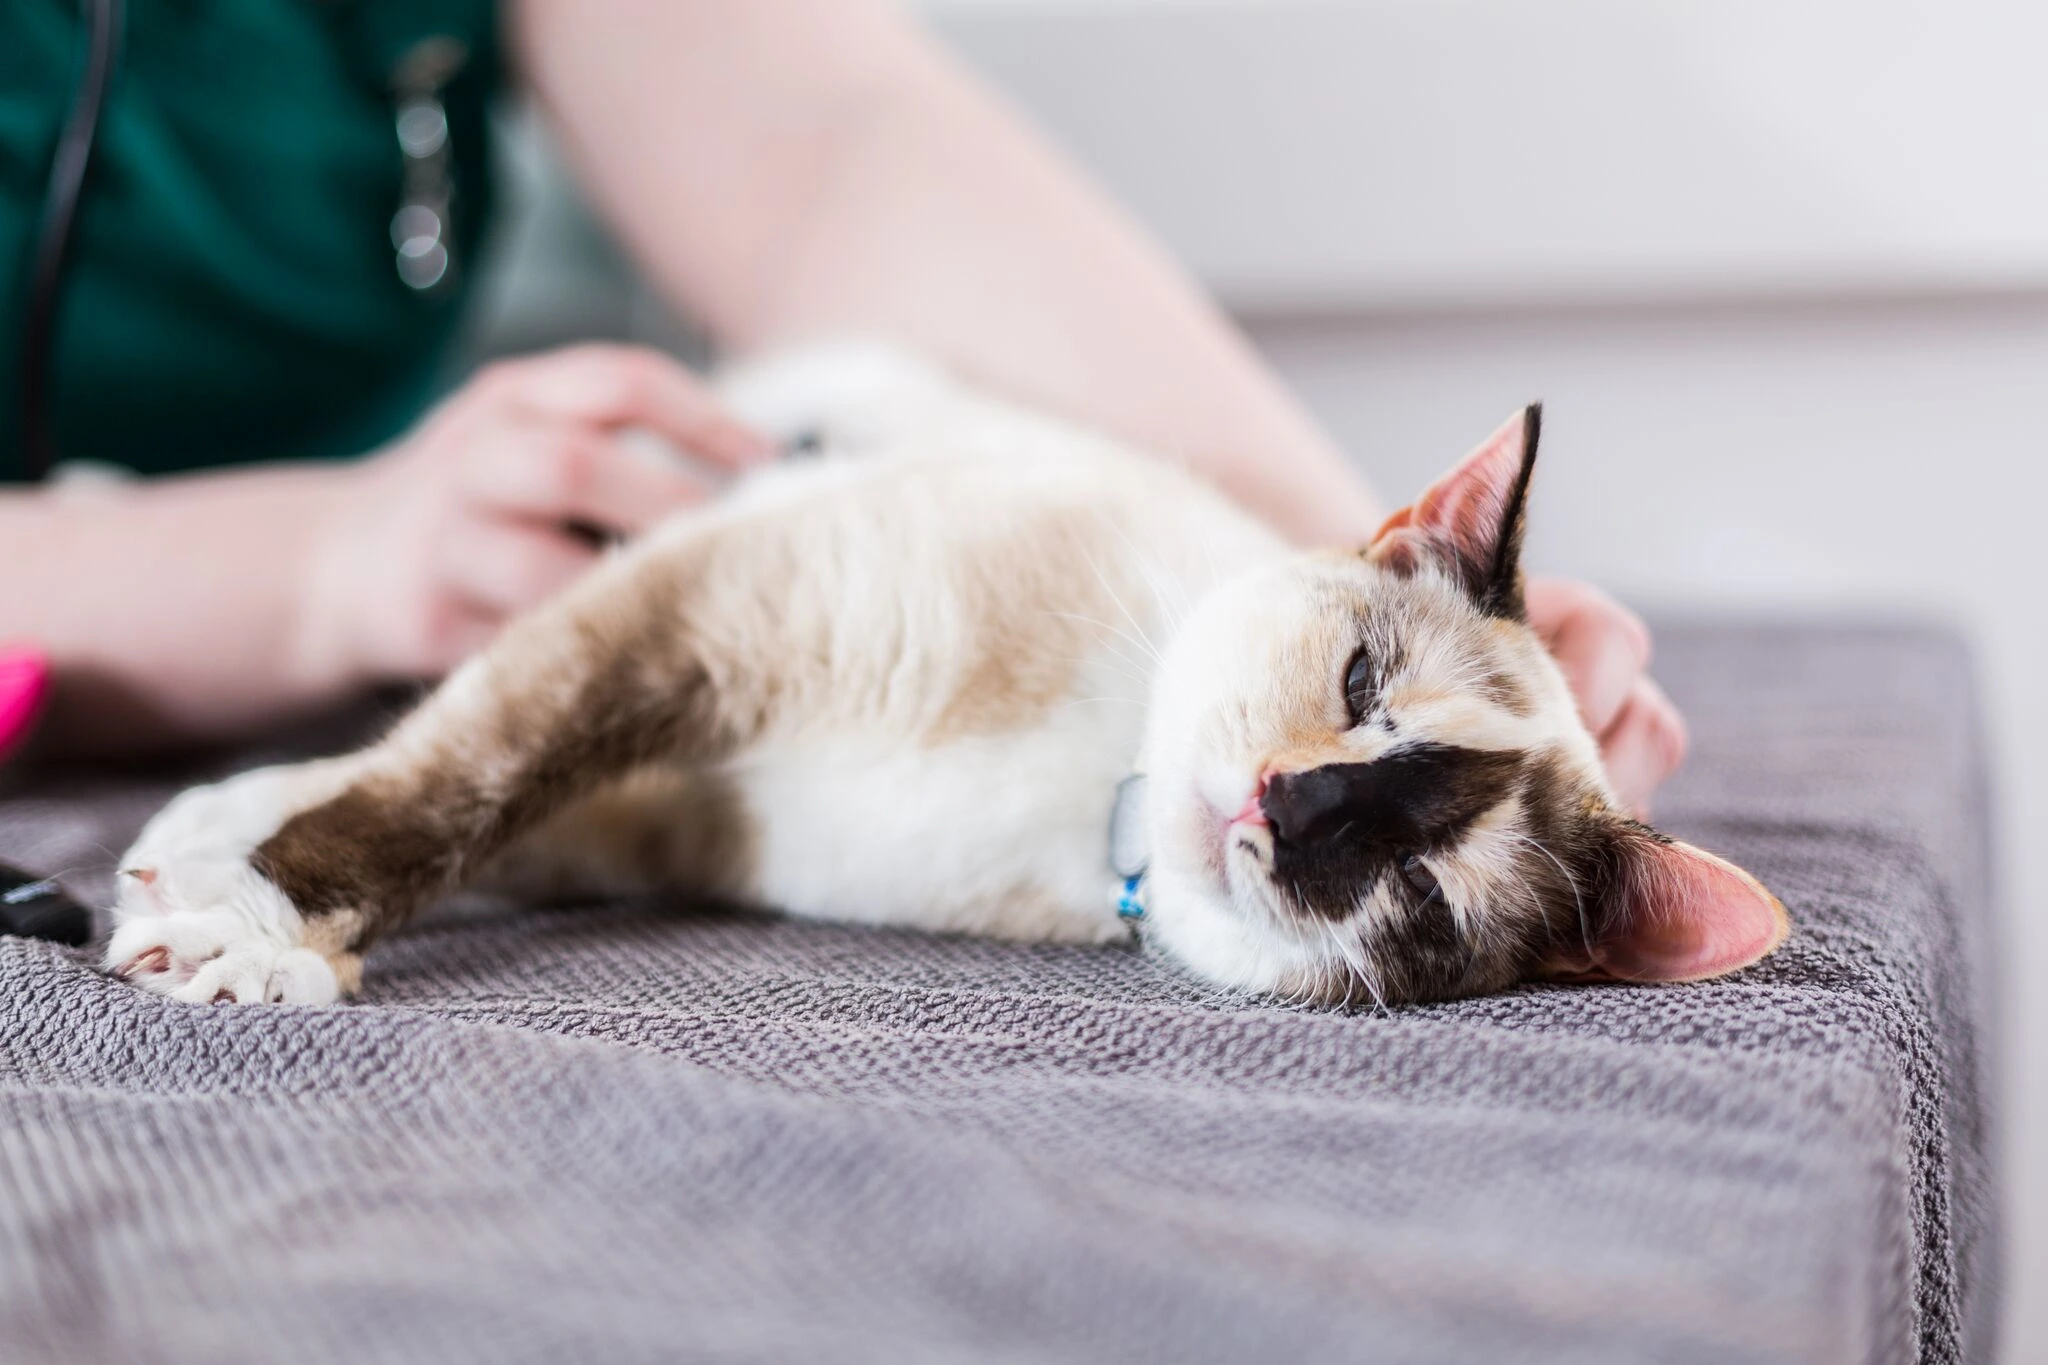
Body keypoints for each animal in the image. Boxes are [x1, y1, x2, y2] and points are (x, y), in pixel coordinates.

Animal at [103, 347, 1785, 1010]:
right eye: (1361, 682)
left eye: (1418, 891)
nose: (1290, 810)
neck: (1090, 796)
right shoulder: (696, 611)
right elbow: (447, 788)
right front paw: (250, 920)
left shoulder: (663, 796)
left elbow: (466, 797)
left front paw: (244, 918)